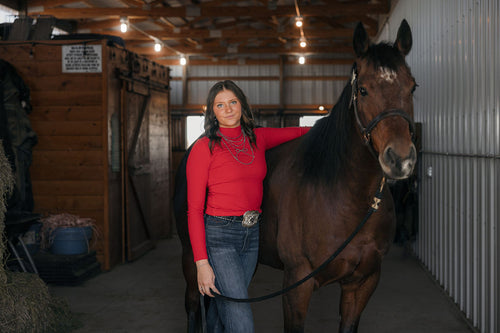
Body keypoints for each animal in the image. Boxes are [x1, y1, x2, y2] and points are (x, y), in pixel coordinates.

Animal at [174, 20, 416, 332]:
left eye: (412, 87)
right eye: (363, 90)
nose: (400, 159)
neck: (345, 196)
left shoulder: (363, 282)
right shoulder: (297, 284)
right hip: (191, 258)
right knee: (194, 305)